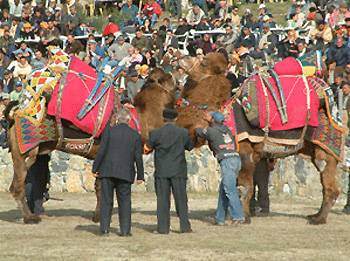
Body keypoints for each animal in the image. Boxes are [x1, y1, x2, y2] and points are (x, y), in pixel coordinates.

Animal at [4, 66, 176, 222]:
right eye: (166, 78)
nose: (174, 76)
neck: (140, 120)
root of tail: (13, 115)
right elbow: (103, 188)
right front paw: (100, 217)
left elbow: (99, 187)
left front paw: (97, 216)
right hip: (25, 152)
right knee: (17, 187)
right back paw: (30, 218)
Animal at [178, 52, 344, 223]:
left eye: (202, 62)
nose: (181, 58)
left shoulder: (244, 148)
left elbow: (244, 186)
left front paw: (243, 218)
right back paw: (315, 215)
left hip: (324, 148)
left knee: (330, 184)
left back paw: (319, 219)